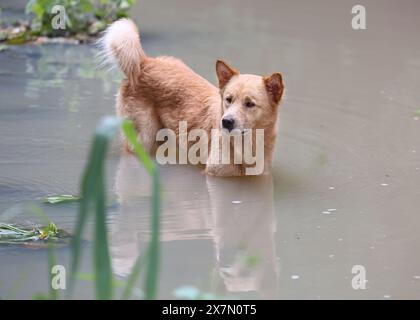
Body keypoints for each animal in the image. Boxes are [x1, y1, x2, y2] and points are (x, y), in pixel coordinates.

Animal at [99, 19, 284, 178]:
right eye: (228, 99)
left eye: (250, 104)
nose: (226, 122)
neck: (245, 149)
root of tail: (144, 63)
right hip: (144, 139)